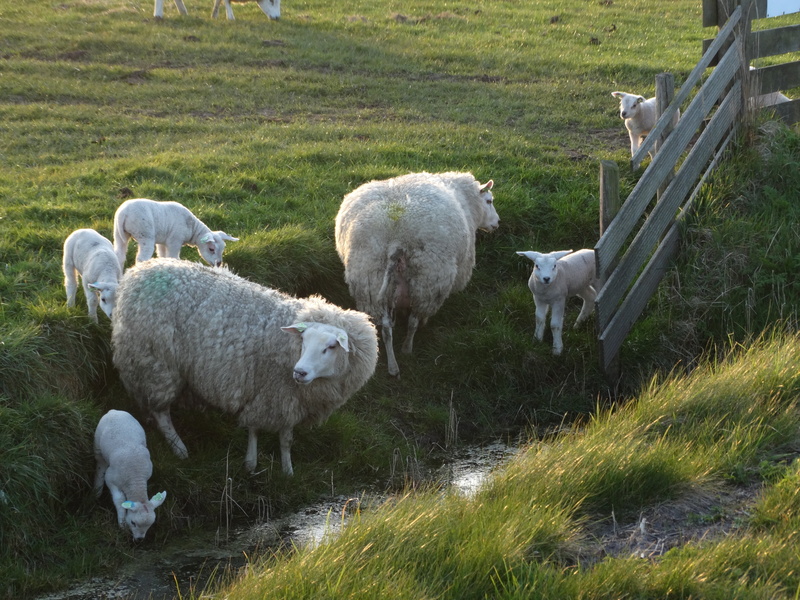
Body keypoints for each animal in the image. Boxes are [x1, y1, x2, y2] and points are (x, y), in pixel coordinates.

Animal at [94, 409, 167, 541]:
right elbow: (119, 500)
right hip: (97, 443)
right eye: (133, 523)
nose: (139, 539)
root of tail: (114, 411)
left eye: (150, 525)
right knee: (100, 463)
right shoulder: (111, 479)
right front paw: (122, 524)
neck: (135, 477)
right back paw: (96, 490)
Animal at [111, 259, 378, 476]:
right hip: (155, 363)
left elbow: (285, 439)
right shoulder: (269, 392)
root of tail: (136, 272)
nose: (299, 372)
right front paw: (251, 464)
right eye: (303, 341)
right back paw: (179, 448)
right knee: (161, 412)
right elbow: (256, 429)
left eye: (331, 346)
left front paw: (287, 471)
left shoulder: (286, 398)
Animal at [334, 171, 499, 377]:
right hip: (427, 279)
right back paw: (407, 348)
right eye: (489, 201)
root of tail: (396, 239)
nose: (498, 223)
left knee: (386, 329)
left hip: (370, 278)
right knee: (414, 320)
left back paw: (393, 366)